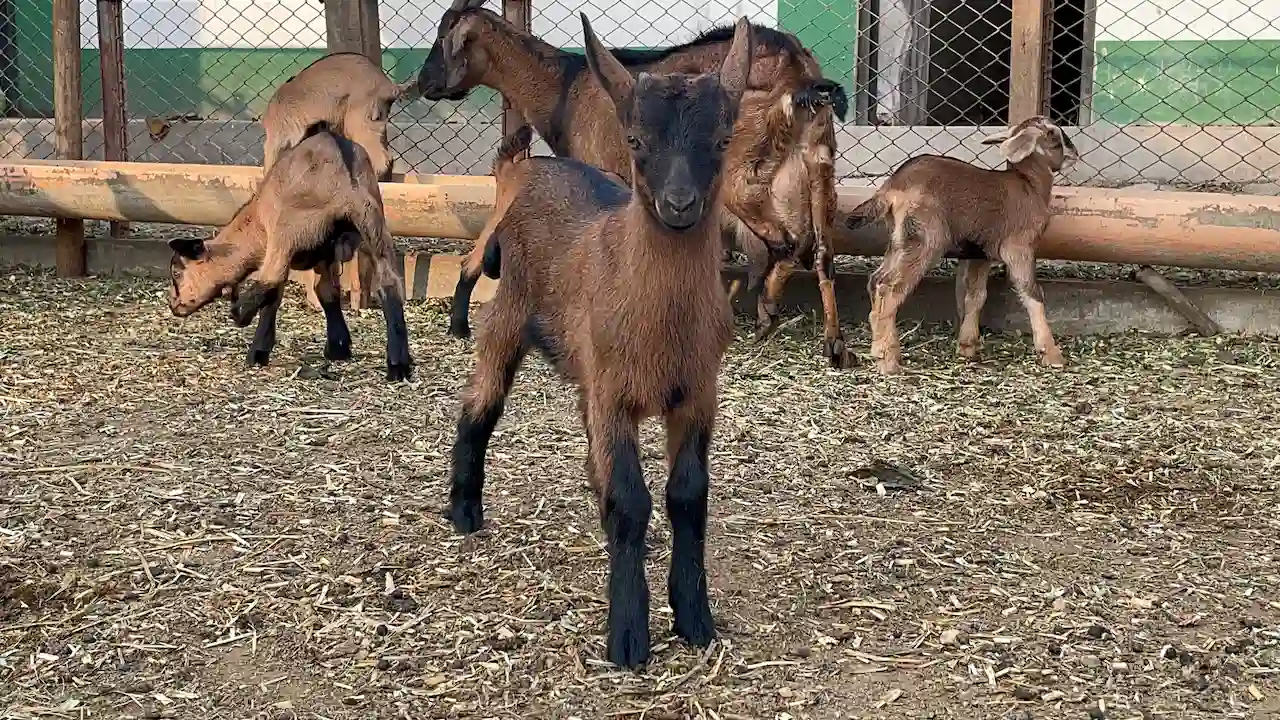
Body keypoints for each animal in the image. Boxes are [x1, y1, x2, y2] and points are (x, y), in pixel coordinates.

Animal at [167, 124, 413, 382]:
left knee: (271, 278)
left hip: (290, 228)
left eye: (177, 272)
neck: (254, 225)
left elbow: (275, 295)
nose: (172, 303)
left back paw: (240, 314)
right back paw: (398, 364)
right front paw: (338, 347)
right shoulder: (324, 256)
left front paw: (258, 351)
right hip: (374, 223)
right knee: (389, 284)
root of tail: (345, 172)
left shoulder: (284, 242)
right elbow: (326, 292)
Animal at [418, 0, 852, 368]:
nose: (424, 83)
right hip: (817, 160)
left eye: (442, 38)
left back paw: (768, 318)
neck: (566, 89)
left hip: (742, 177)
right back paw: (830, 345)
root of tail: (798, 71)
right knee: (819, 251)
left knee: (788, 243)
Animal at [445, 14, 753, 669]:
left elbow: (688, 496)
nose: (680, 204)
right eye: (635, 140)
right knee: (479, 402)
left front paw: (695, 618)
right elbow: (633, 500)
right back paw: (463, 509)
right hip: (510, 310)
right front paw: (629, 634)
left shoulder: (697, 393)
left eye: (722, 140)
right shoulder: (616, 394)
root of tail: (531, 169)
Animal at [844, 115, 1079, 374]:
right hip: (926, 241)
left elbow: (975, 296)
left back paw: (885, 350)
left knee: (876, 280)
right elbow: (1032, 293)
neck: (1029, 185)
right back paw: (887, 361)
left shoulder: (980, 254)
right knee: (889, 287)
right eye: (1053, 134)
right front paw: (1052, 354)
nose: (1074, 153)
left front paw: (967, 348)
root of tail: (892, 187)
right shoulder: (1019, 248)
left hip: (901, 241)